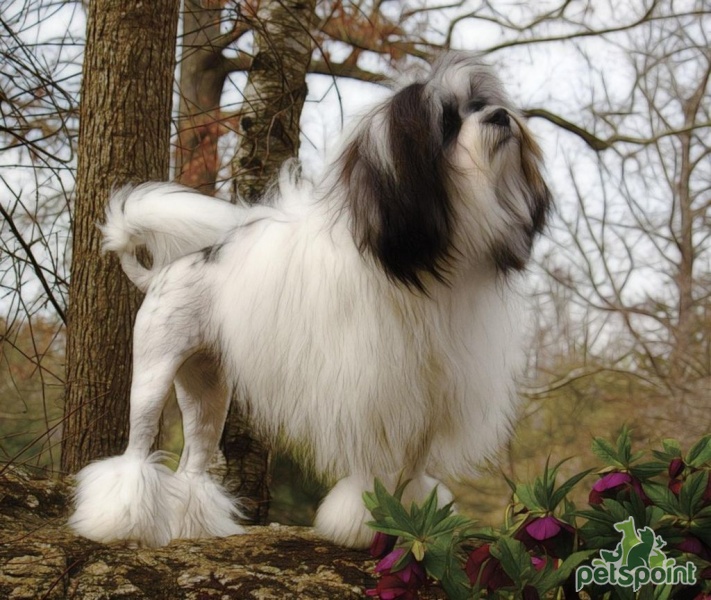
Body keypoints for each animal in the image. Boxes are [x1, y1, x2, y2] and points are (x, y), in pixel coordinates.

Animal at [69, 51, 552, 548]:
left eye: (478, 104)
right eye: (449, 123)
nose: (500, 116)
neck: (425, 266)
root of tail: (161, 272)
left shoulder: (427, 394)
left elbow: (413, 470)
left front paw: (412, 523)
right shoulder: (368, 389)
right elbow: (373, 469)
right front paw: (365, 520)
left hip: (207, 387)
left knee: (194, 464)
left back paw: (195, 526)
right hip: (155, 368)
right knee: (136, 449)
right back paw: (118, 520)